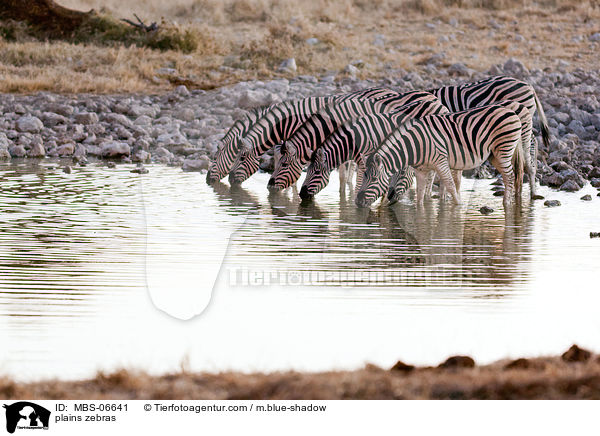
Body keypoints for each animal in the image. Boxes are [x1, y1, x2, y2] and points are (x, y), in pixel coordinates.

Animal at [300, 98, 450, 200]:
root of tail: (440, 105)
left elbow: (360, 181)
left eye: (317, 172)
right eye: (307, 170)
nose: (301, 194)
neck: (353, 139)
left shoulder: (366, 158)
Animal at [356, 104, 524, 209]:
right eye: (364, 176)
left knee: (510, 176)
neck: (416, 144)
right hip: (494, 155)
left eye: (374, 179)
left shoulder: (441, 162)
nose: (357, 202)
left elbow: (450, 185)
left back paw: (507, 204)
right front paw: (421, 213)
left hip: (503, 151)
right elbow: (420, 193)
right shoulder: (421, 170)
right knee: (509, 176)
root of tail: (511, 111)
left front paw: (458, 206)